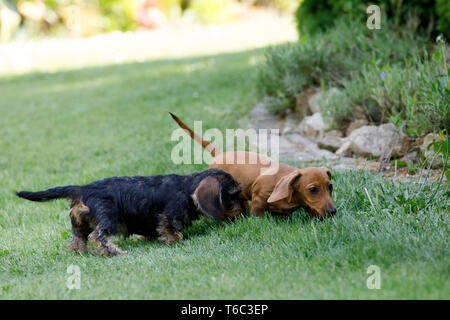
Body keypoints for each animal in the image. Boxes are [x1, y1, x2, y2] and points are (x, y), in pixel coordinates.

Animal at [16, 169, 243, 256]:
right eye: (233, 195)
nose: (243, 213)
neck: (187, 189)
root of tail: (83, 189)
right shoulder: (169, 215)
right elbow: (173, 231)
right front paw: (173, 240)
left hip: (78, 222)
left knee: (78, 239)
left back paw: (81, 251)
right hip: (108, 218)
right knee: (98, 236)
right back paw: (114, 251)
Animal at [171, 111, 336, 219]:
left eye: (330, 187)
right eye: (312, 189)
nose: (333, 211)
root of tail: (220, 153)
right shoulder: (258, 198)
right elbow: (257, 214)